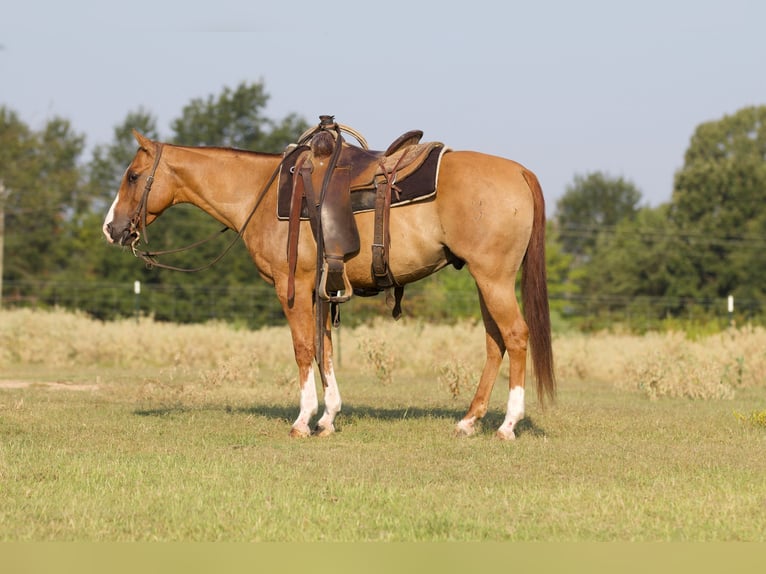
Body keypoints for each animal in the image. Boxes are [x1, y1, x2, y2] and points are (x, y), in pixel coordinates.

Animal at [103, 122, 560, 440]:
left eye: (132, 176)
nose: (111, 228)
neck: (261, 193)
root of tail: (520, 172)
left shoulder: (293, 288)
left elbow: (304, 349)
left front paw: (303, 420)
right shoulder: (321, 289)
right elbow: (326, 350)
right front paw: (328, 417)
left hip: (493, 279)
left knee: (516, 336)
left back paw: (507, 424)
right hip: (485, 282)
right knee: (495, 343)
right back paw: (469, 420)